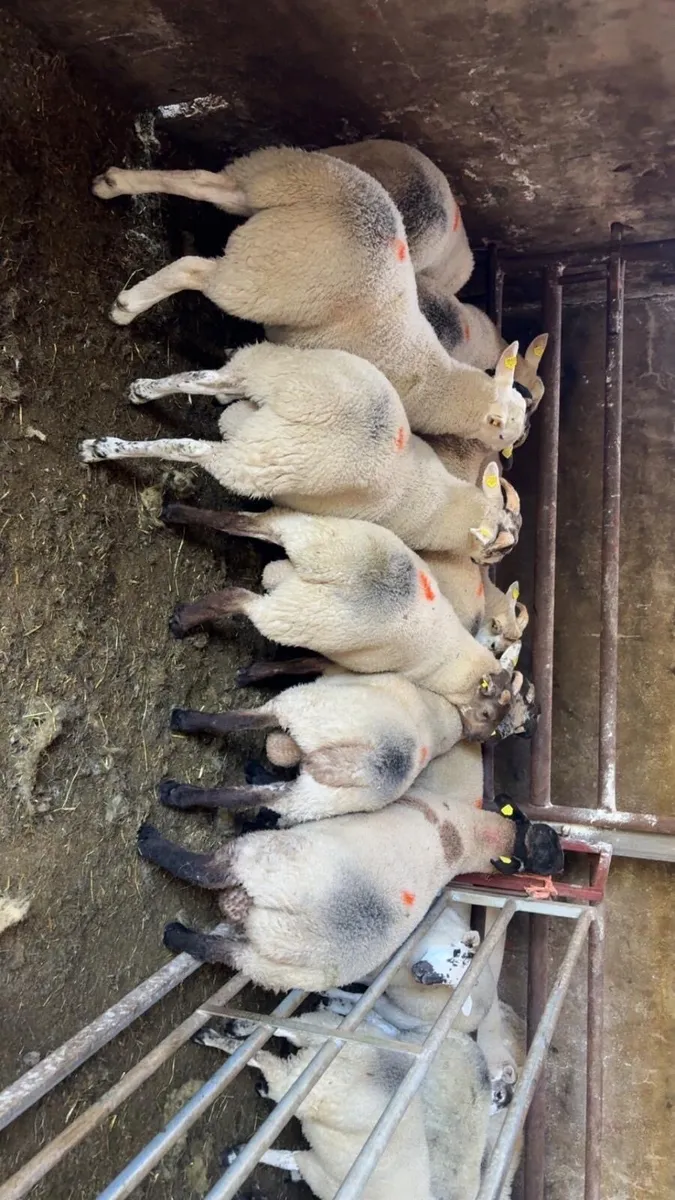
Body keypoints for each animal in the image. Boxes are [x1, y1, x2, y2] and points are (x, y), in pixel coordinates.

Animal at [80, 341, 523, 562]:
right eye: (502, 548)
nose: (491, 564)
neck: (450, 506)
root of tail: (306, 405)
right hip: (254, 462)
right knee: (188, 446)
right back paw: (102, 449)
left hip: (264, 368)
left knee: (201, 378)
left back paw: (142, 391)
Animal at [92, 147, 527, 448]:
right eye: (505, 434)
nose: (517, 444)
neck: (441, 385)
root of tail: (329, 203)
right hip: (268, 273)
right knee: (193, 270)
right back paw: (126, 306)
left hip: (269, 181)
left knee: (203, 182)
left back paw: (114, 183)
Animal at [137, 784, 563, 991]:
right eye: (549, 842)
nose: (560, 864)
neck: (465, 837)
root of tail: (302, 935)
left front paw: (176, 796)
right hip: (270, 970)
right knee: (216, 950)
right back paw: (183, 937)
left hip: (262, 858)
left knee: (203, 871)